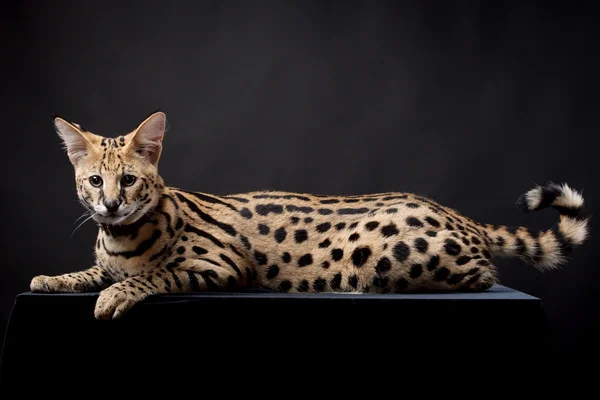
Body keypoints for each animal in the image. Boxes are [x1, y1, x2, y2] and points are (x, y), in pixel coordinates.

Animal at [30, 111, 588, 320]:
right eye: (95, 181)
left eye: (128, 180)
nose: (110, 204)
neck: (119, 234)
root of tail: (458, 216)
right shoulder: (105, 257)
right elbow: (88, 272)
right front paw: (51, 279)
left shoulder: (221, 265)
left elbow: (153, 276)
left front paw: (114, 296)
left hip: (386, 255)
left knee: (484, 276)